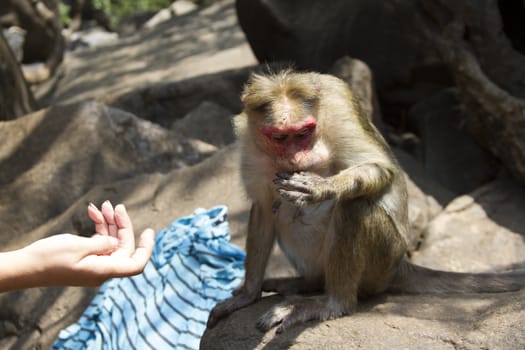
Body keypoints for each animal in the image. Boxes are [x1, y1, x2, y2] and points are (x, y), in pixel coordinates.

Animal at [207, 69, 520, 332]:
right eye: (280, 137)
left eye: (304, 132)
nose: (296, 157)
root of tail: (400, 265)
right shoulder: (250, 141)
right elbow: (262, 208)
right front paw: (248, 294)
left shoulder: (339, 107)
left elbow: (379, 168)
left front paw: (324, 188)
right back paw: (306, 283)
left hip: (382, 264)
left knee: (355, 205)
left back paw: (334, 303)